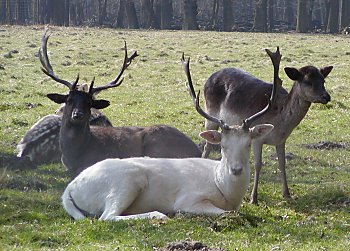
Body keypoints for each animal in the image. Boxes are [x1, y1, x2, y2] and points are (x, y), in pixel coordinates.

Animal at [38, 30, 201, 176]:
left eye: (90, 103)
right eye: (69, 100)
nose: (77, 114)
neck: (75, 154)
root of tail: (197, 151)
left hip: (157, 145)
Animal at [201, 47, 332, 204]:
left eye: (323, 80)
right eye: (307, 81)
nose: (326, 96)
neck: (279, 123)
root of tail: (209, 78)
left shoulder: (281, 140)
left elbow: (282, 164)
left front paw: (287, 194)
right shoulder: (257, 139)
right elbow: (258, 164)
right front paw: (253, 198)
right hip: (210, 115)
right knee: (207, 146)